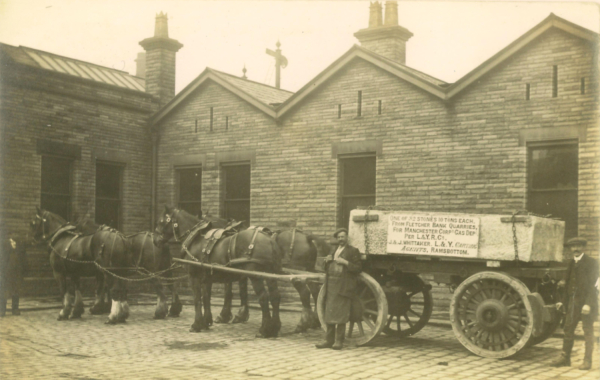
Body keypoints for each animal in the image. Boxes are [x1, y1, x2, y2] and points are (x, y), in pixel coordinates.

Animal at [156, 206, 284, 336]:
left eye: (161, 221)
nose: (156, 240)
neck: (196, 238)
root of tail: (269, 240)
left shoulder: (194, 276)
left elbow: (197, 299)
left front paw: (196, 324)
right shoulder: (206, 278)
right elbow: (206, 297)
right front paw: (206, 322)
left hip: (255, 276)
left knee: (263, 297)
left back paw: (264, 329)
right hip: (270, 274)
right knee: (275, 296)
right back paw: (275, 327)